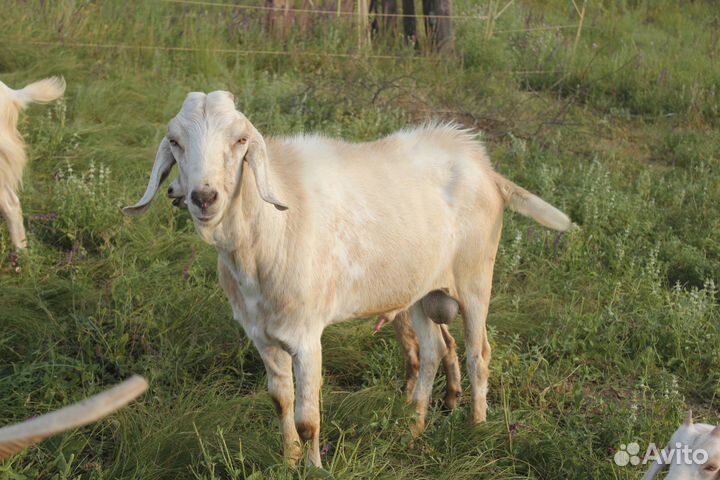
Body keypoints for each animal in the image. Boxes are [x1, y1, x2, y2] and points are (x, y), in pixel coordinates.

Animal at [124, 90, 571, 466]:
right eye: (175, 142)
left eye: (240, 141)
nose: (204, 197)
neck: (268, 234)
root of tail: (484, 166)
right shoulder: (262, 336)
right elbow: (281, 401)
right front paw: (289, 462)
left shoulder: (307, 336)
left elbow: (307, 418)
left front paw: (315, 468)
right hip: (422, 292)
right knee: (431, 351)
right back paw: (414, 428)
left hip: (476, 278)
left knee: (479, 353)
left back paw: (476, 429)